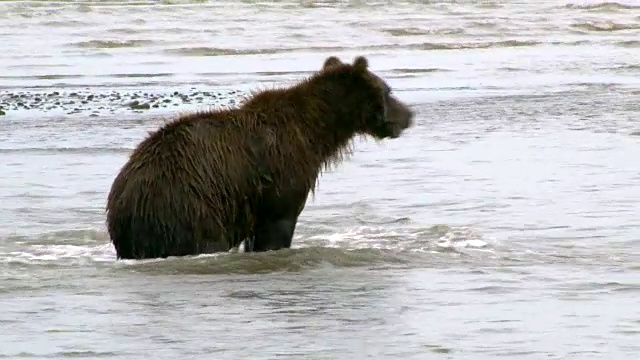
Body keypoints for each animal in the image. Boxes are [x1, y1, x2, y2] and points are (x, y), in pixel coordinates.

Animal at [105, 54, 416, 258]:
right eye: (388, 90)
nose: (409, 115)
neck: (316, 132)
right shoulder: (282, 174)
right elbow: (277, 224)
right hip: (189, 208)